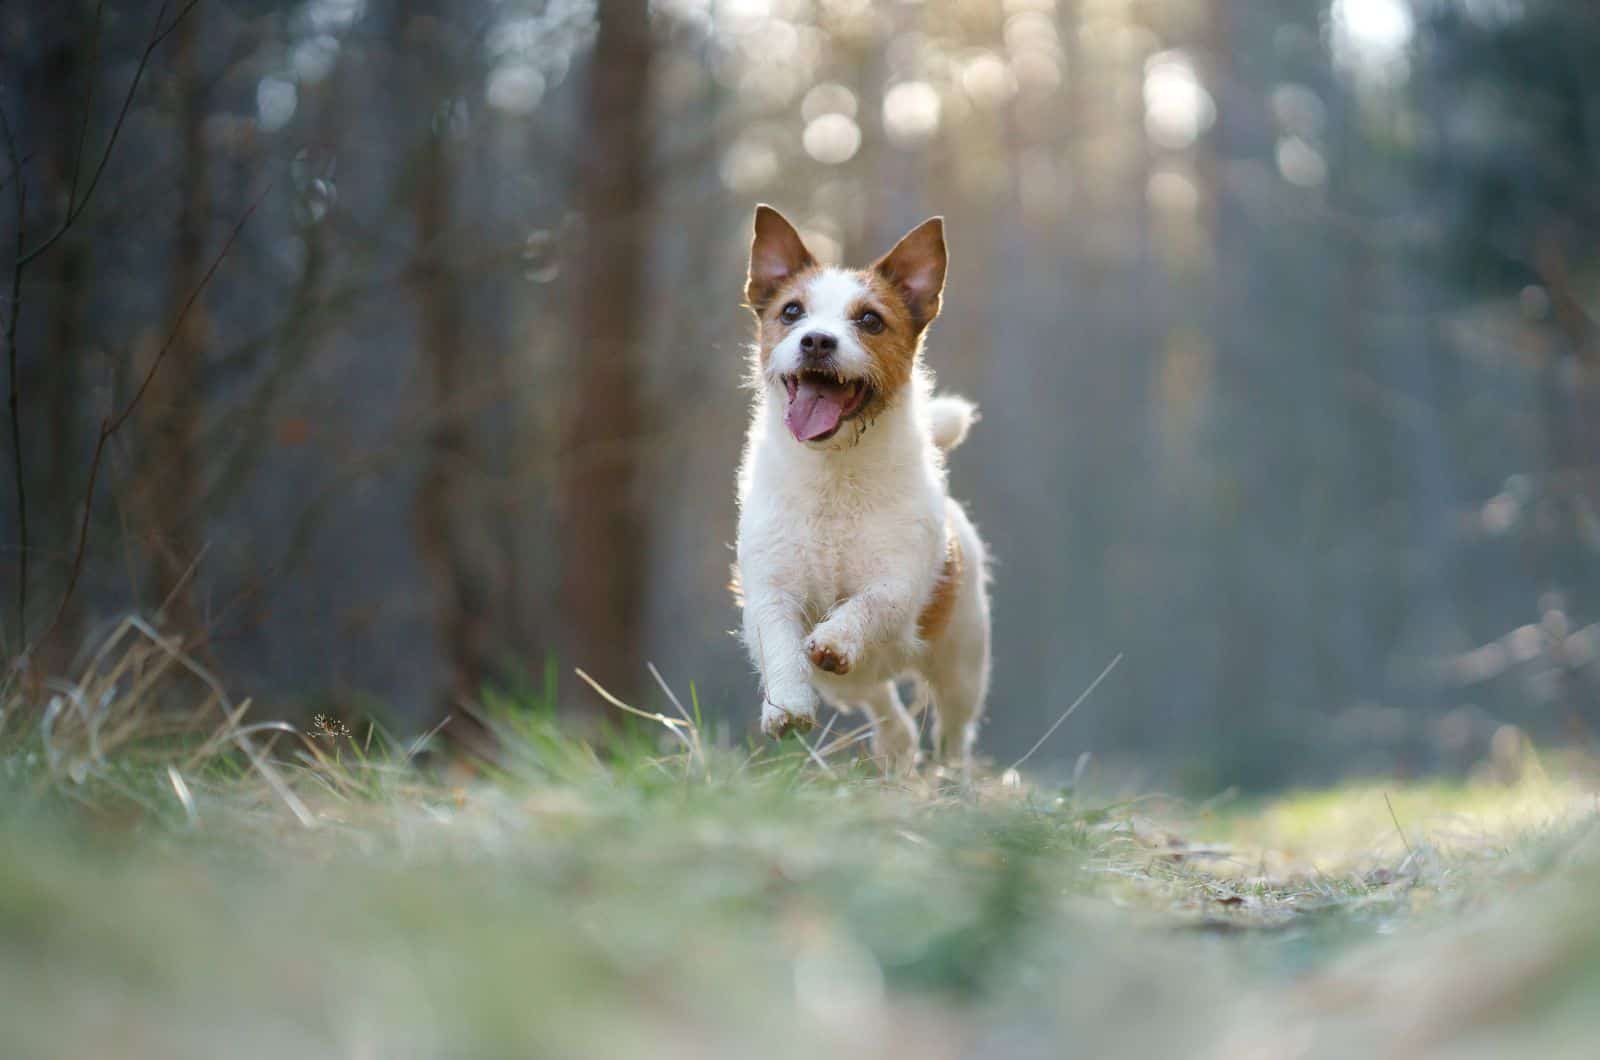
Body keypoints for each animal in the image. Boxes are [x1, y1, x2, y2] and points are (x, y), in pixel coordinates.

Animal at [732, 204, 985, 771]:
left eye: (870, 320)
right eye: (792, 312)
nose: (817, 340)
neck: (833, 475)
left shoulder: (897, 580)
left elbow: (867, 605)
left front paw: (835, 637)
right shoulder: (771, 588)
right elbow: (780, 641)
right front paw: (786, 706)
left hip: (963, 661)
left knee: (954, 728)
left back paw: (953, 775)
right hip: (851, 688)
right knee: (888, 712)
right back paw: (895, 747)